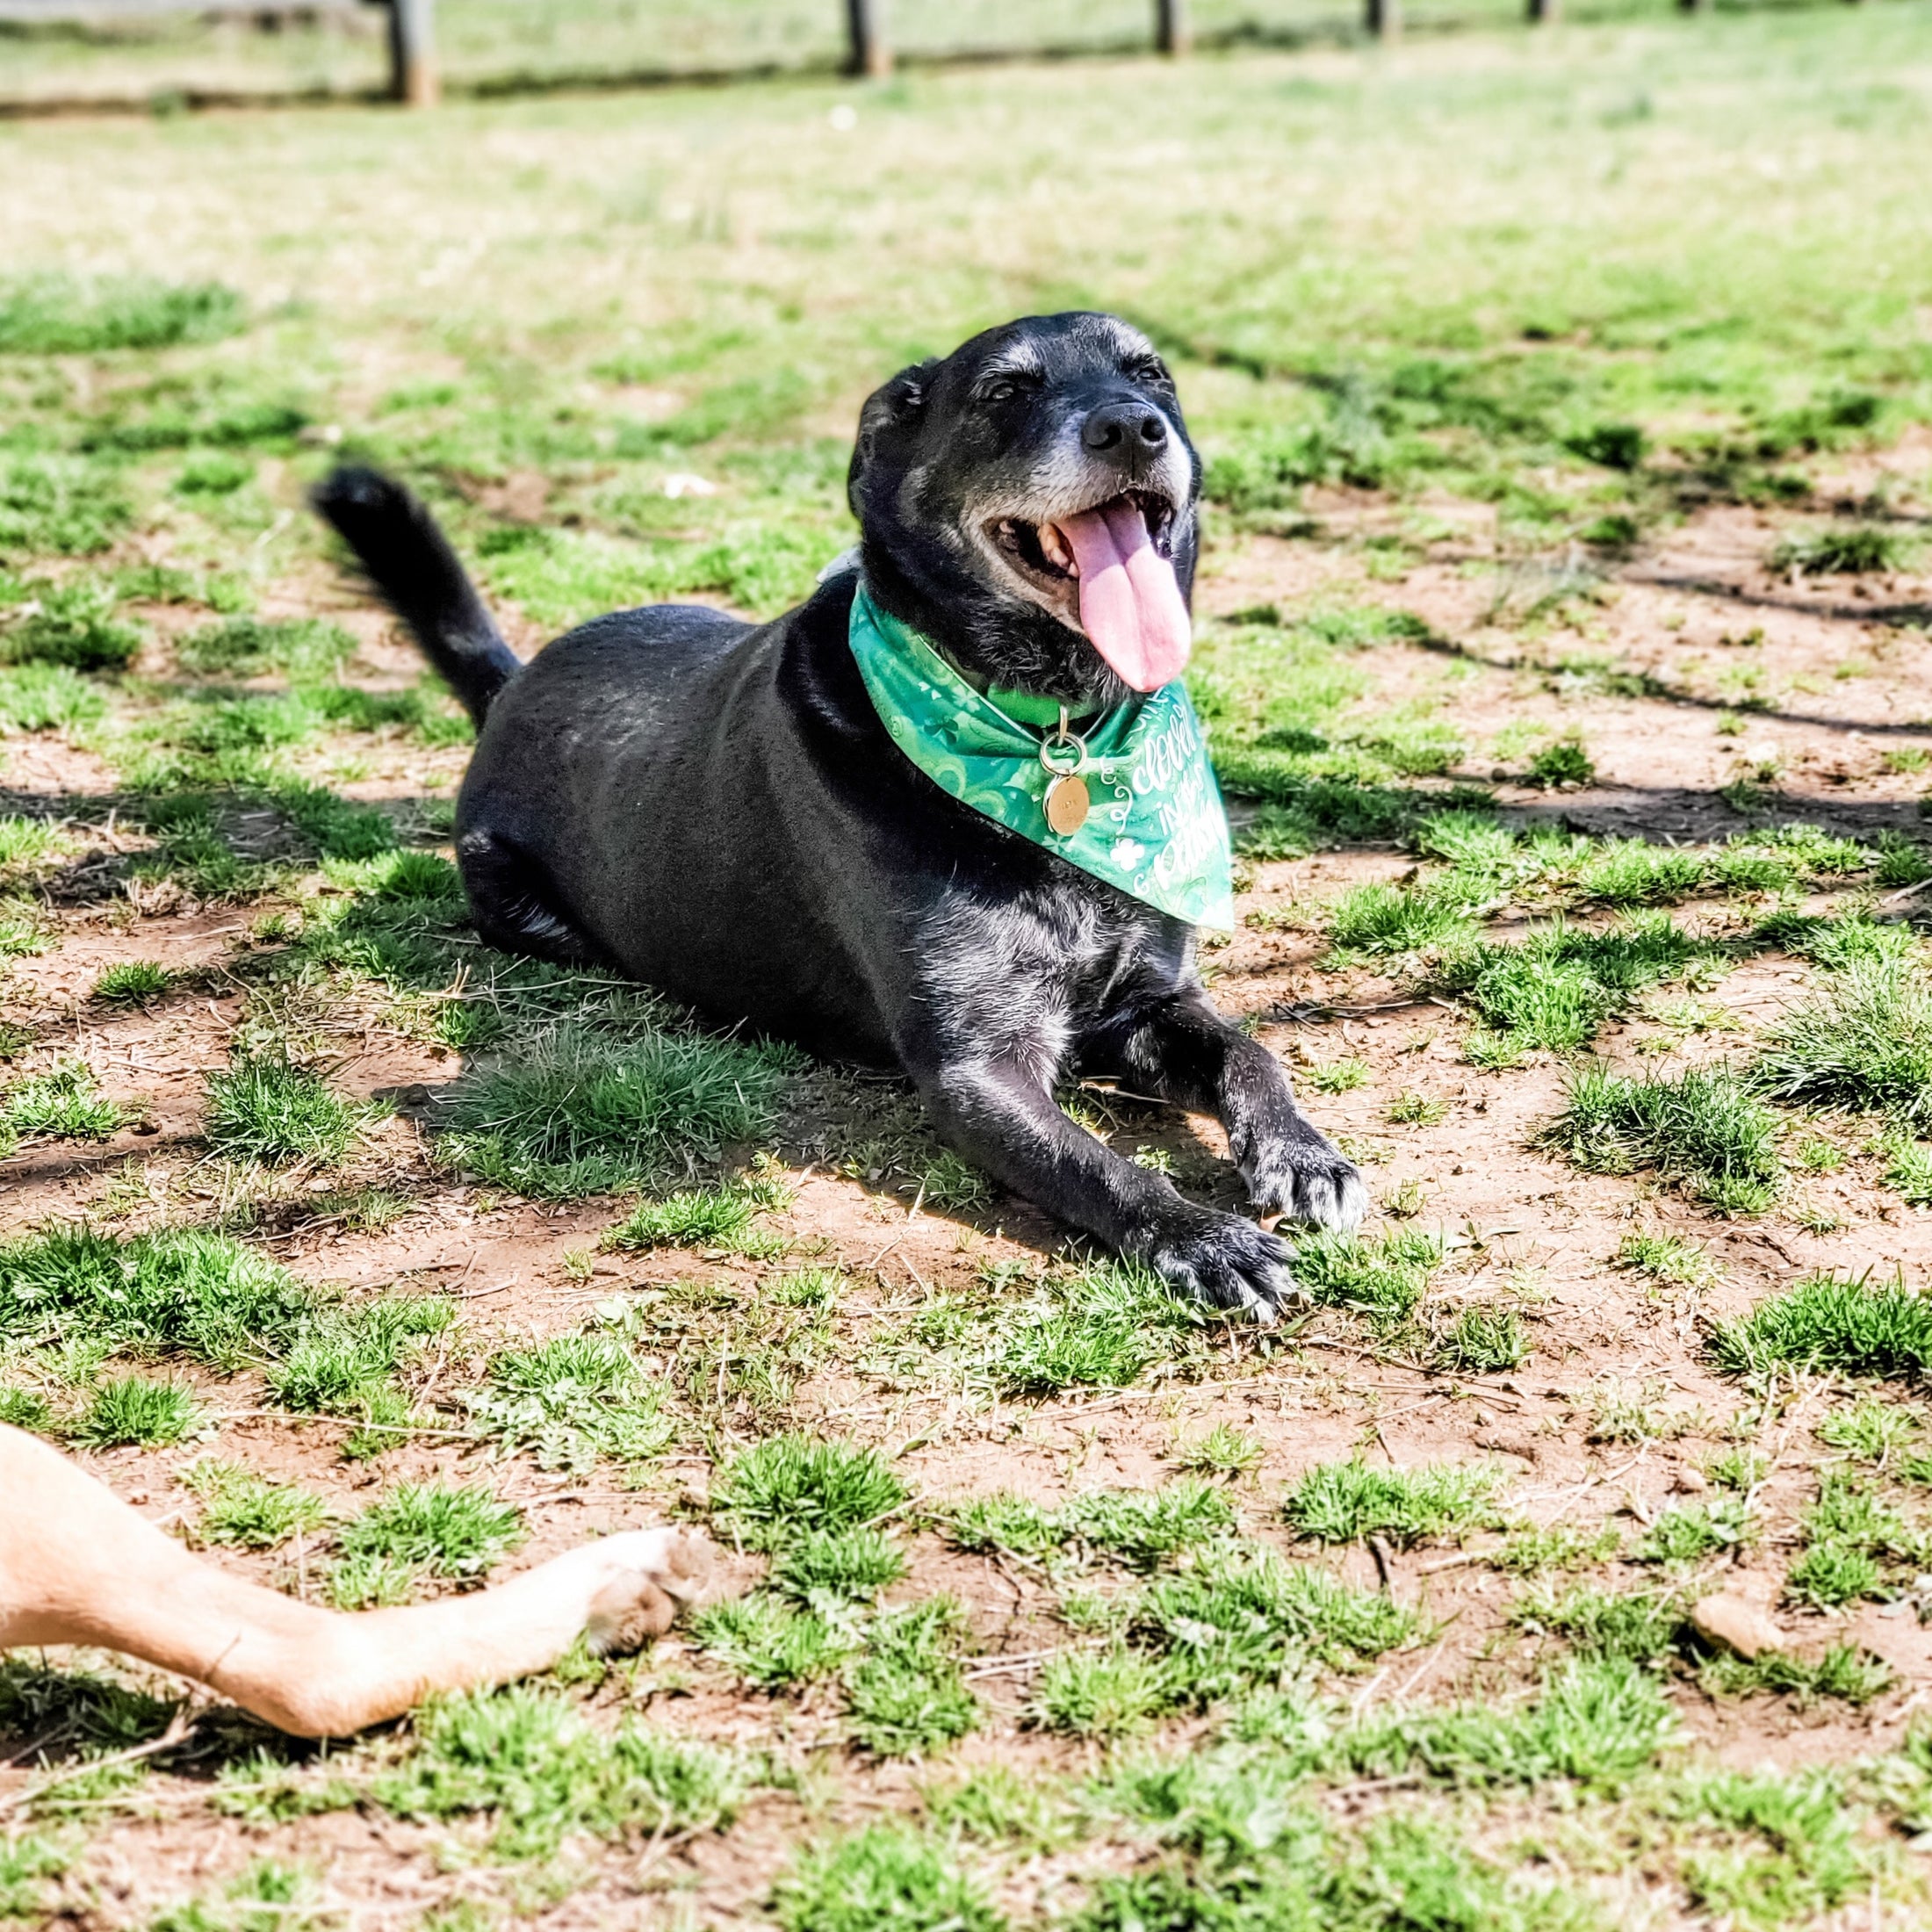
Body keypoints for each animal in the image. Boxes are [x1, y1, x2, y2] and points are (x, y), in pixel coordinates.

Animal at [316, 313, 1367, 1314]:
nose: (1132, 427)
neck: (1050, 732)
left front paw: (1302, 1150)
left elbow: (1249, 1050)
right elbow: (1095, 1165)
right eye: (1005, 391)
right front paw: (1203, 1238)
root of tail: (514, 683)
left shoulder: (1146, 1000)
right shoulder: (974, 1065)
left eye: (1152, 375)